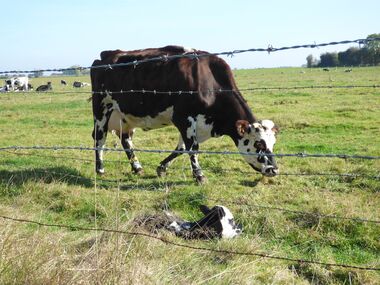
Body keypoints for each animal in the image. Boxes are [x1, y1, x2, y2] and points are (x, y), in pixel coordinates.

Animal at [90, 44, 278, 182]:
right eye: (259, 144)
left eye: (273, 144)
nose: (274, 170)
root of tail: (107, 55)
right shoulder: (183, 118)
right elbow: (192, 148)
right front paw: (199, 176)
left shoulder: (196, 124)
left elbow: (181, 148)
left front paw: (161, 168)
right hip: (102, 108)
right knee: (100, 137)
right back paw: (100, 169)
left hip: (126, 116)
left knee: (125, 139)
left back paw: (137, 168)